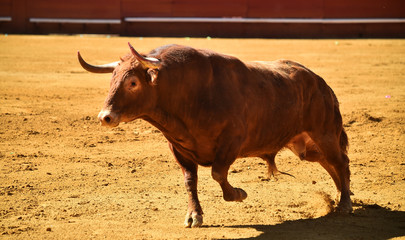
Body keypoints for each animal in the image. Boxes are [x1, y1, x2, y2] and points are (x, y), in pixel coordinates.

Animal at [76, 42, 350, 228]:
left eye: (132, 83)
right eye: (112, 80)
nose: (105, 117)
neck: (187, 93)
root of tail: (320, 83)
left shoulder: (232, 141)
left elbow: (218, 173)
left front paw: (239, 194)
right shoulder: (179, 149)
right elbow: (190, 181)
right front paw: (193, 216)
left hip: (325, 132)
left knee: (340, 162)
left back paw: (345, 202)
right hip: (305, 144)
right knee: (328, 163)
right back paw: (338, 197)